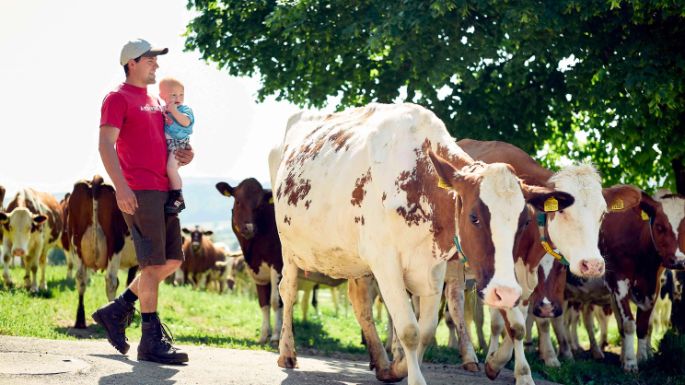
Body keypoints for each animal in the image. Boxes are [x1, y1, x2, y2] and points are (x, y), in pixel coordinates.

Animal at [65, 176, 138, 328]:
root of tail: (95, 180)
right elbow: (130, 283)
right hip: (115, 244)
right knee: (111, 280)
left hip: (76, 245)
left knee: (81, 278)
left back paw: (80, 320)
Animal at [268, 103, 572, 384]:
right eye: (474, 217)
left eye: (524, 221)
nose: (506, 293)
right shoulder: (385, 262)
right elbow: (409, 330)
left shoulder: (433, 267)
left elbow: (425, 331)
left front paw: (397, 367)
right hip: (288, 248)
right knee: (288, 291)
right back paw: (287, 352)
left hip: (355, 259)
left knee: (360, 302)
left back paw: (381, 361)